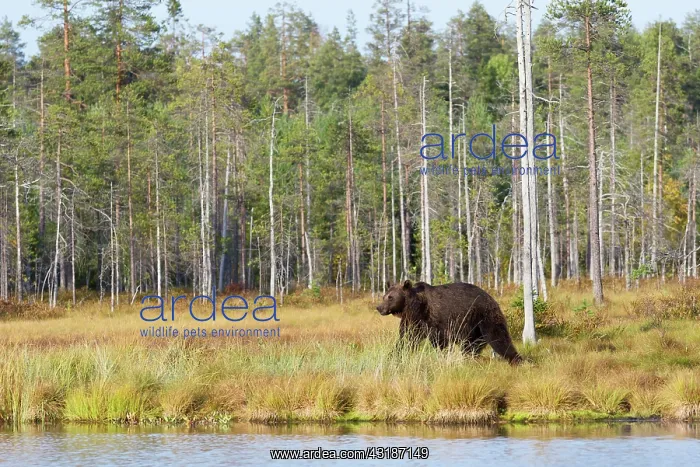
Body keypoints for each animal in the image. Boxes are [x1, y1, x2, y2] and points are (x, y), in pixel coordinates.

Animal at [376, 280, 522, 364]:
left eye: (390, 297)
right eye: (384, 296)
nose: (379, 307)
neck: (414, 307)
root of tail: (491, 297)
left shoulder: (437, 320)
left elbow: (440, 341)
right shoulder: (412, 322)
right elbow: (406, 339)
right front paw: (393, 356)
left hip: (484, 316)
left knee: (498, 337)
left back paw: (515, 359)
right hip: (474, 327)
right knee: (471, 345)